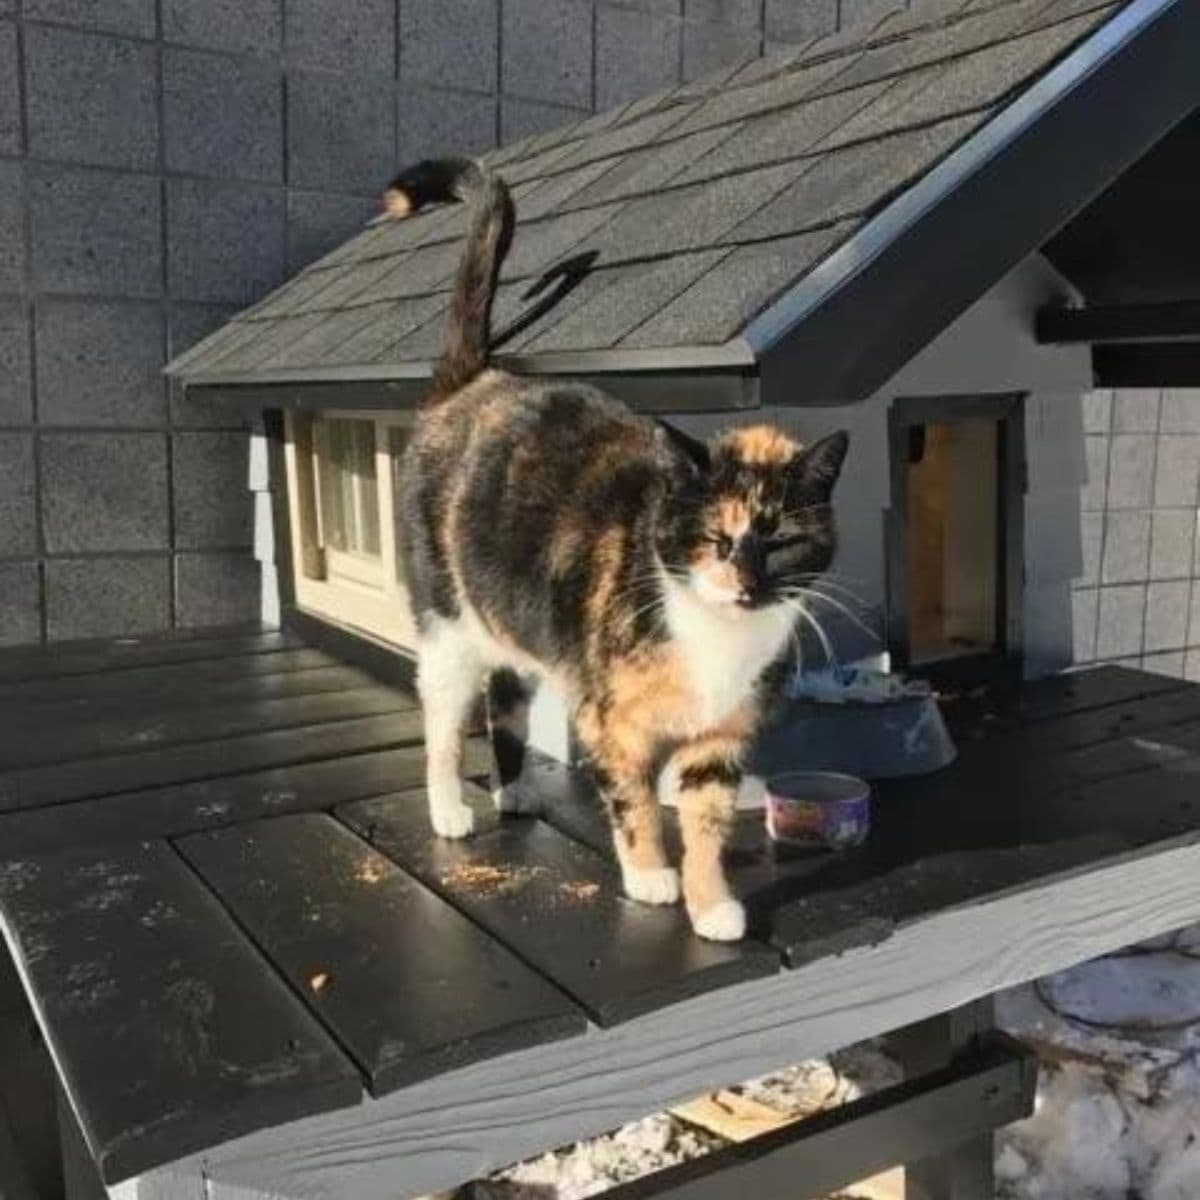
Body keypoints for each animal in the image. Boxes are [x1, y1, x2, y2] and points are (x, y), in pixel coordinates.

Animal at [384, 159, 844, 940]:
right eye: (714, 538)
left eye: (781, 540)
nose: (747, 583)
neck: (714, 640)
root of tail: (472, 379)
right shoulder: (610, 722)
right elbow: (633, 803)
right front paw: (651, 876)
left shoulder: (719, 738)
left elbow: (706, 820)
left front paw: (712, 904)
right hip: (446, 627)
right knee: (443, 720)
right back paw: (450, 808)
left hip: (515, 622)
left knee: (505, 698)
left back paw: (513, 792)